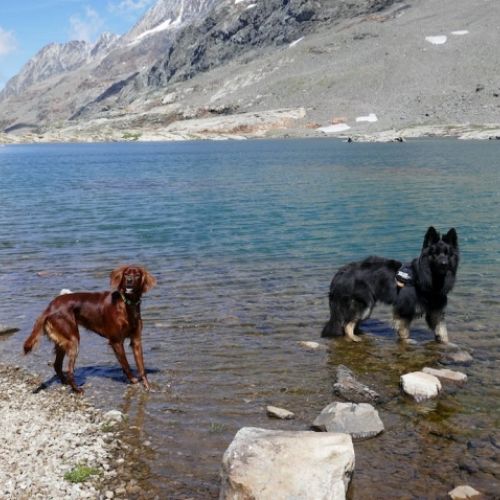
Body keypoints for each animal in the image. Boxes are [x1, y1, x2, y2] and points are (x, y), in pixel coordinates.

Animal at [23, 265, 156, 393]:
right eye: (126, 274)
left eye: (137, 275)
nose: (129, 281)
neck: (126, 304)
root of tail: (50, 307)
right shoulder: (116, 341)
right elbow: (126, 364)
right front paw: (133, 380)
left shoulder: (136, 340)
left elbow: (141, 366)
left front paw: (148, 386)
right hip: (73, 340)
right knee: (69, 370)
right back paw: (77, 389)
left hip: (63, 340)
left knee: (57, 365)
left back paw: (66, 383)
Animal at [322, 227, 459, 343]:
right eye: (435, 254)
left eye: (447, 254)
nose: (444, 264)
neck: (424, 278)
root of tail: (341, 273)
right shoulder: (404, 310)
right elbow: (405, 333)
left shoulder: (436, 311)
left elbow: (442, 331)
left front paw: (446, 343)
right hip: (365, 305)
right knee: (347, 326)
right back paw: (355, 338)